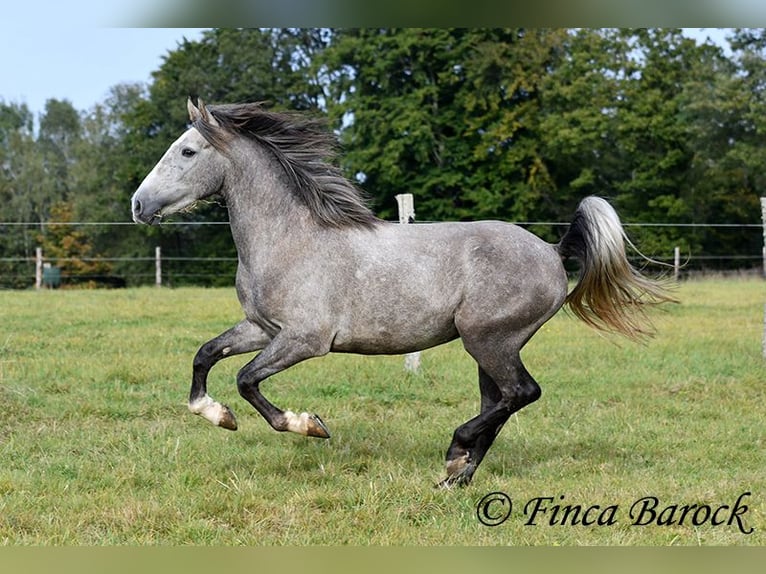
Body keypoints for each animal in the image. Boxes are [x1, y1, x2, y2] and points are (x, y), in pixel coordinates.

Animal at [132, 99, 672, 486]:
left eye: (187, 151)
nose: (138, 205)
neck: (290, 238)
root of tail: (553, 251)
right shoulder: (262, 329)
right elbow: (205, 355)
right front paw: (216, 415)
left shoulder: (305, 340)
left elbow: (246, 380)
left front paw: (308, 424)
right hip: (491, 346)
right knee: (501, 402)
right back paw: (456, 475)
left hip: (489, 339)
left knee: (521, 393)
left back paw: (455, 453)